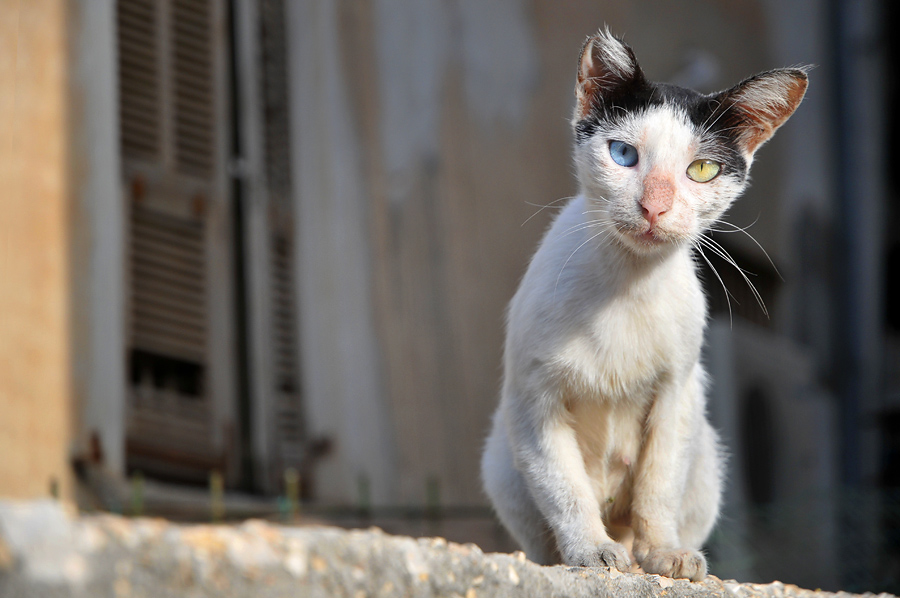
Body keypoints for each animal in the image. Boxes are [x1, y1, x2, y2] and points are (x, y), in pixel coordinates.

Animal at [482, 28, 804, 580]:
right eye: (622, 154)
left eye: (702, 169)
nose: (654, 206)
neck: (626, 285)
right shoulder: (532, 400)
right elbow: (564, 487)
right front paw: (590, 553)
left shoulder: (676, 392)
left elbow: (658, 486)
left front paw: (664, 554)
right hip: (502, 459)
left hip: (706, 453)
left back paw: (642, 554)